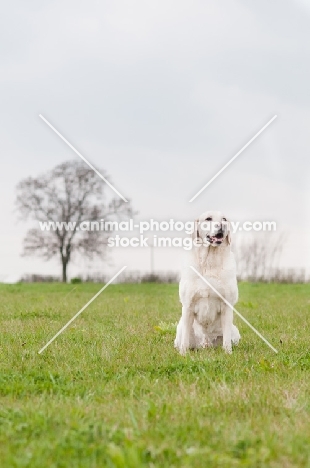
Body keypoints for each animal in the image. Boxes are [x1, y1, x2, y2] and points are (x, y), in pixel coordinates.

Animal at [174, 211, 240, 354]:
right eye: (208, 219)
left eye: (224, 219)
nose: (222, 225)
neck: (210, 261)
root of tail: (206, 343)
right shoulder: (188, 305)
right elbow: (185, 339)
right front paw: (183, 354)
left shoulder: (227, 305)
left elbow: (226, 338)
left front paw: (228, 353)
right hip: (180, 328)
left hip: (235, 331)